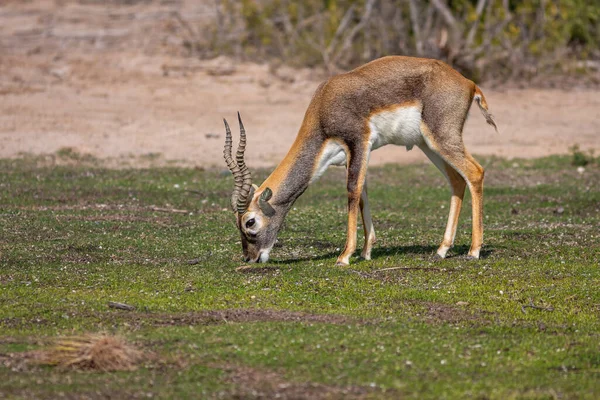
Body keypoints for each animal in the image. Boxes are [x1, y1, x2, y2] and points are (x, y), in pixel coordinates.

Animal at [223, 54, 494, 264]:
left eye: (249, 222)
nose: (249, 258)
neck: (324, 105)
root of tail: (469, 83)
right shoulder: (349, 156)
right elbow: (362, 193)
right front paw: (366, 251)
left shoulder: (359, 142)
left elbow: (352, 191)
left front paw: (345, 256)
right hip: (427, 144)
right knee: (457, 180)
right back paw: (442, 249)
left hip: (441, 138)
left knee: (475, 172)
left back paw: (474, 251)